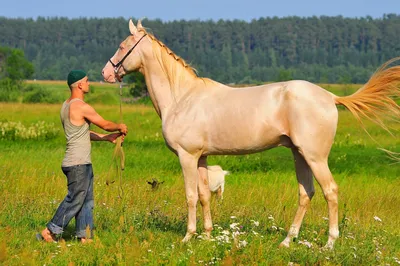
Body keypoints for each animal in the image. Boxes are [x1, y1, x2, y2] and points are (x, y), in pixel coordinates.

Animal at [102, 19, 400, 249]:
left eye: (122, 46)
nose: (106, 73)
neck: (182, 97)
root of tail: (329, 97)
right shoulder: (201, 158)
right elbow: (204, 196)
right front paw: (207, 236)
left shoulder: (187, 157)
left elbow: (190, 196)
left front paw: (188, 237)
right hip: (299, 155)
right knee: (306, 193)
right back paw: (287, 241)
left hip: (315, 157)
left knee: (331, 192)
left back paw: (329, 244)